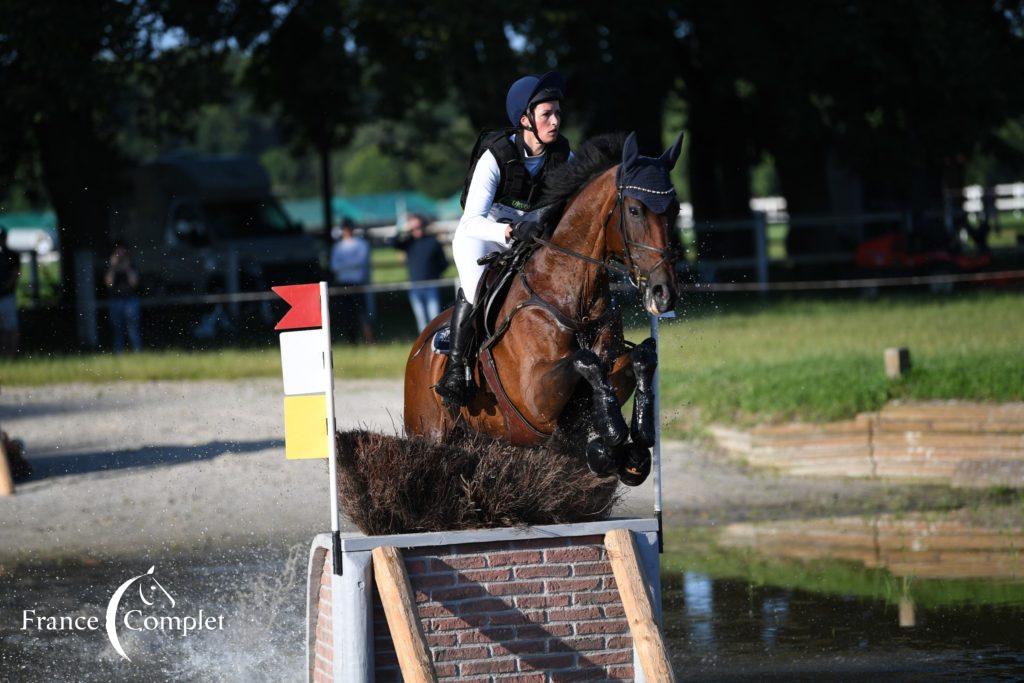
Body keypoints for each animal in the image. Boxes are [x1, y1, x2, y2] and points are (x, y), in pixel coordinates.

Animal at [401, 132, 679, 485]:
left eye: (675, 209)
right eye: (634, 210)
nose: (664, 293)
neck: (572, 299)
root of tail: (418, 347)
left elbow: (642, 355)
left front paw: (634, 443)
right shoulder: (534, 397)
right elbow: (585, 360)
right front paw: (613, 437)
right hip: (428, 430)